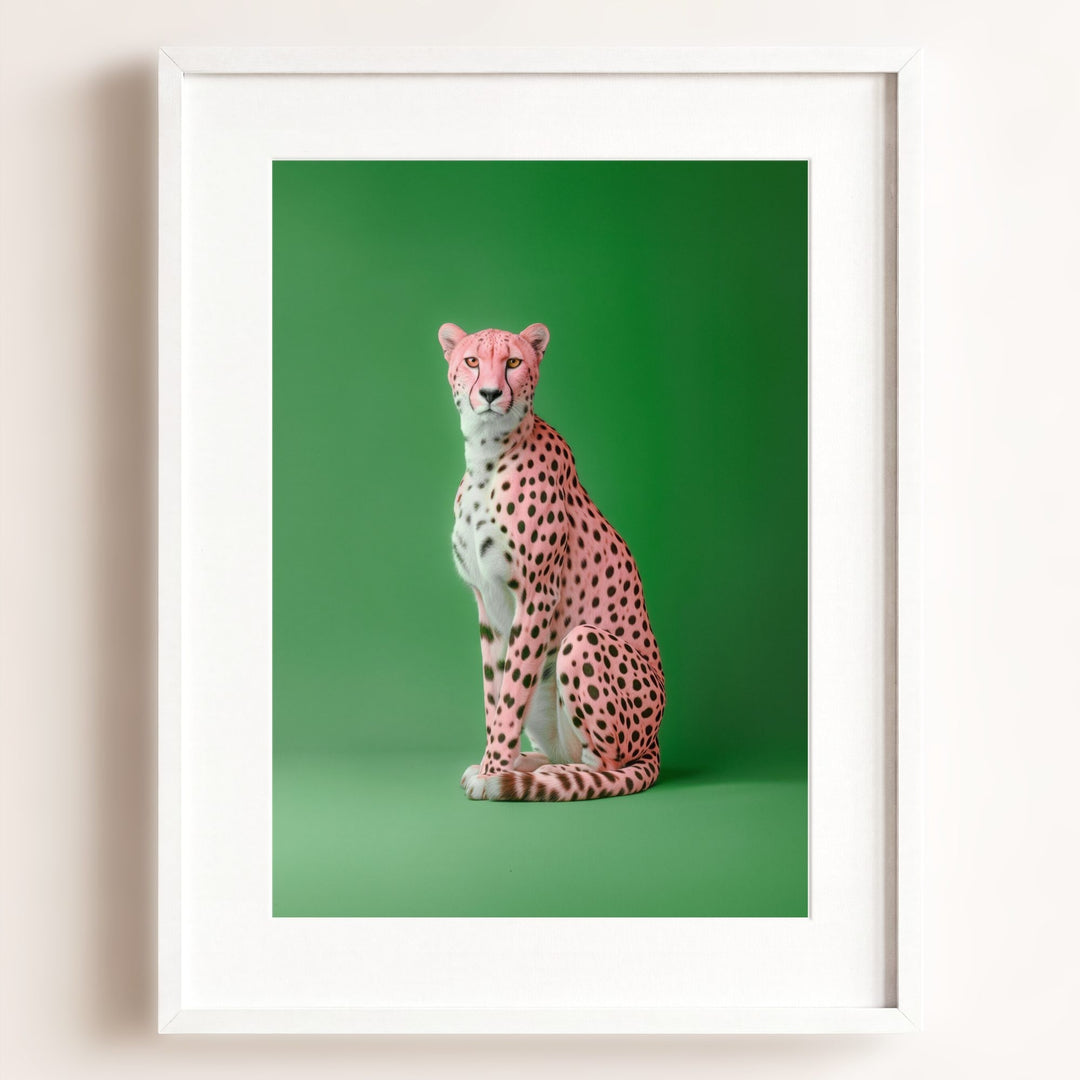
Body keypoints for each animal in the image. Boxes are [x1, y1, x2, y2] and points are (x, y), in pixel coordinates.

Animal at [441, 321, 665, 801]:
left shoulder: (537, 595)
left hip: (581, 642)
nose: (490, 393)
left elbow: (510, 697)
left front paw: (493, 771)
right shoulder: (487, 603)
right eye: (471, 361)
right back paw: (528, 764)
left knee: (606, 766)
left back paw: (541, 776)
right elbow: (495, 693)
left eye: (513, 362)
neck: (487, 454)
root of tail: (655, 742)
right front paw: (493, 763)